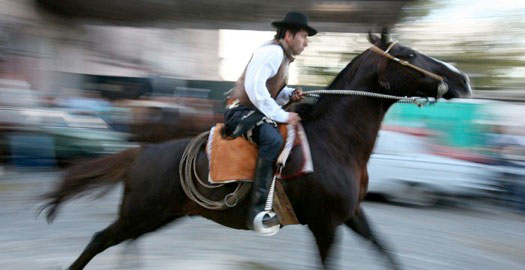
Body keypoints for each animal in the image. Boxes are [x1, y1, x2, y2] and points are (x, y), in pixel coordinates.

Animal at [39, 30, 468, 268]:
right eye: (408, 55)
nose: (461, 78)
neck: (335, 142)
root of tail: (141, 152)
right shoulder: (326, 225)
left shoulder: (351, 216)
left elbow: (386, 250)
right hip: (139, 214)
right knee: (99, 240)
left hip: (159, 216)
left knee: (126, 243)